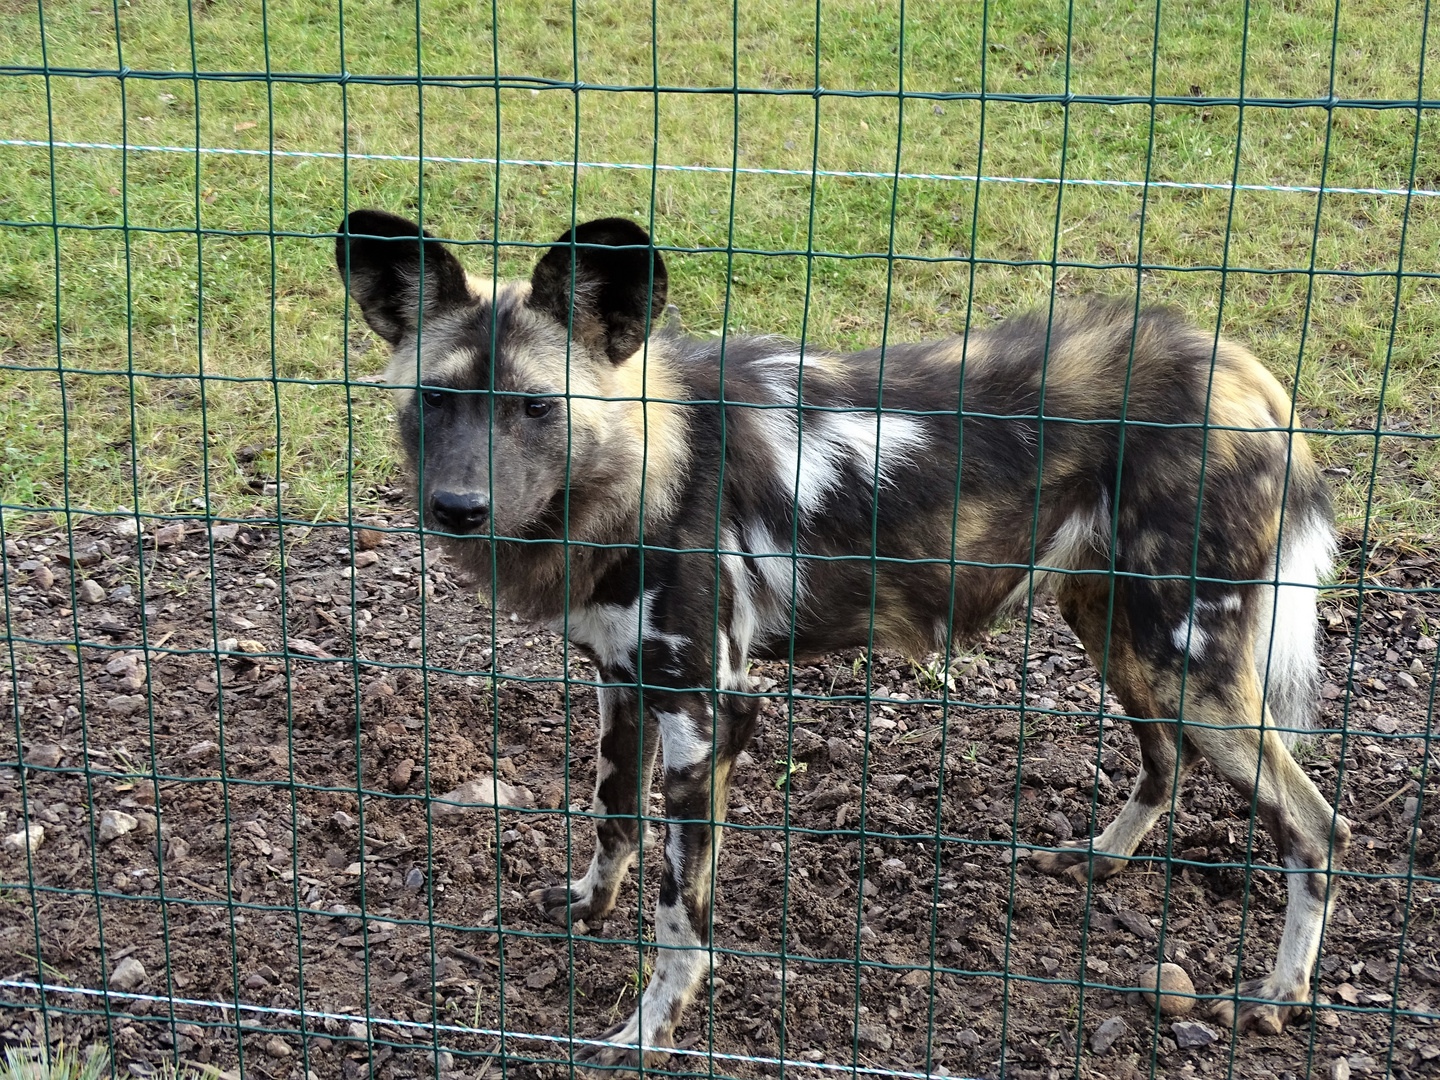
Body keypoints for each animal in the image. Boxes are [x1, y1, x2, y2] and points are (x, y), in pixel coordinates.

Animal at [336, 211, 1347, 1065]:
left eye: (538, 408)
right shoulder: (624, 681)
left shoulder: (709, 714)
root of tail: (1249, 372)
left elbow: (679, 920)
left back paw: (1276, 995)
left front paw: (649, 1032)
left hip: (1187, 663)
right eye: (434, 403)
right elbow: (613, 811)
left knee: (1316, 826)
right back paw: (1101, 857)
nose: (458, 508)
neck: (648, 465)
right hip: (1119, 632)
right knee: (1165, 758)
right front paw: (589, 905)